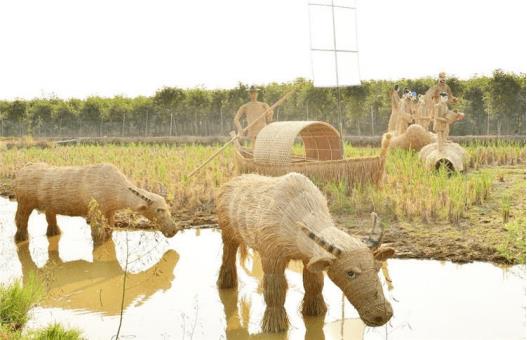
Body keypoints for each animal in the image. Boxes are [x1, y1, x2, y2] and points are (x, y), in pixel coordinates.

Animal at [13, 162, 179, 242]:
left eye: (168, 208)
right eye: (159, 210)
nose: (174, 231)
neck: (114, 187)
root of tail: (23, 169)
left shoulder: (110, 212)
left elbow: (109, 229)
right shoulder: (95, 213)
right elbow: (97, 233)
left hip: (49, 206)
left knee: (50, 217)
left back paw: (54, 233)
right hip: (24, 203)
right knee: (20, 219)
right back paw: (21, 237)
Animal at [216, 173, 396, 332]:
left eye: (377, 267)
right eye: (349, 272)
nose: (382, 315)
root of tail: (229, 183)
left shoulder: (309, 259)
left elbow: (314, 285)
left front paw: (315, 311)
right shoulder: (272, 258)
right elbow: (275, 292)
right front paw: (275, 326)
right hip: (227, 233)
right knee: (228, 256)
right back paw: (226, 284)